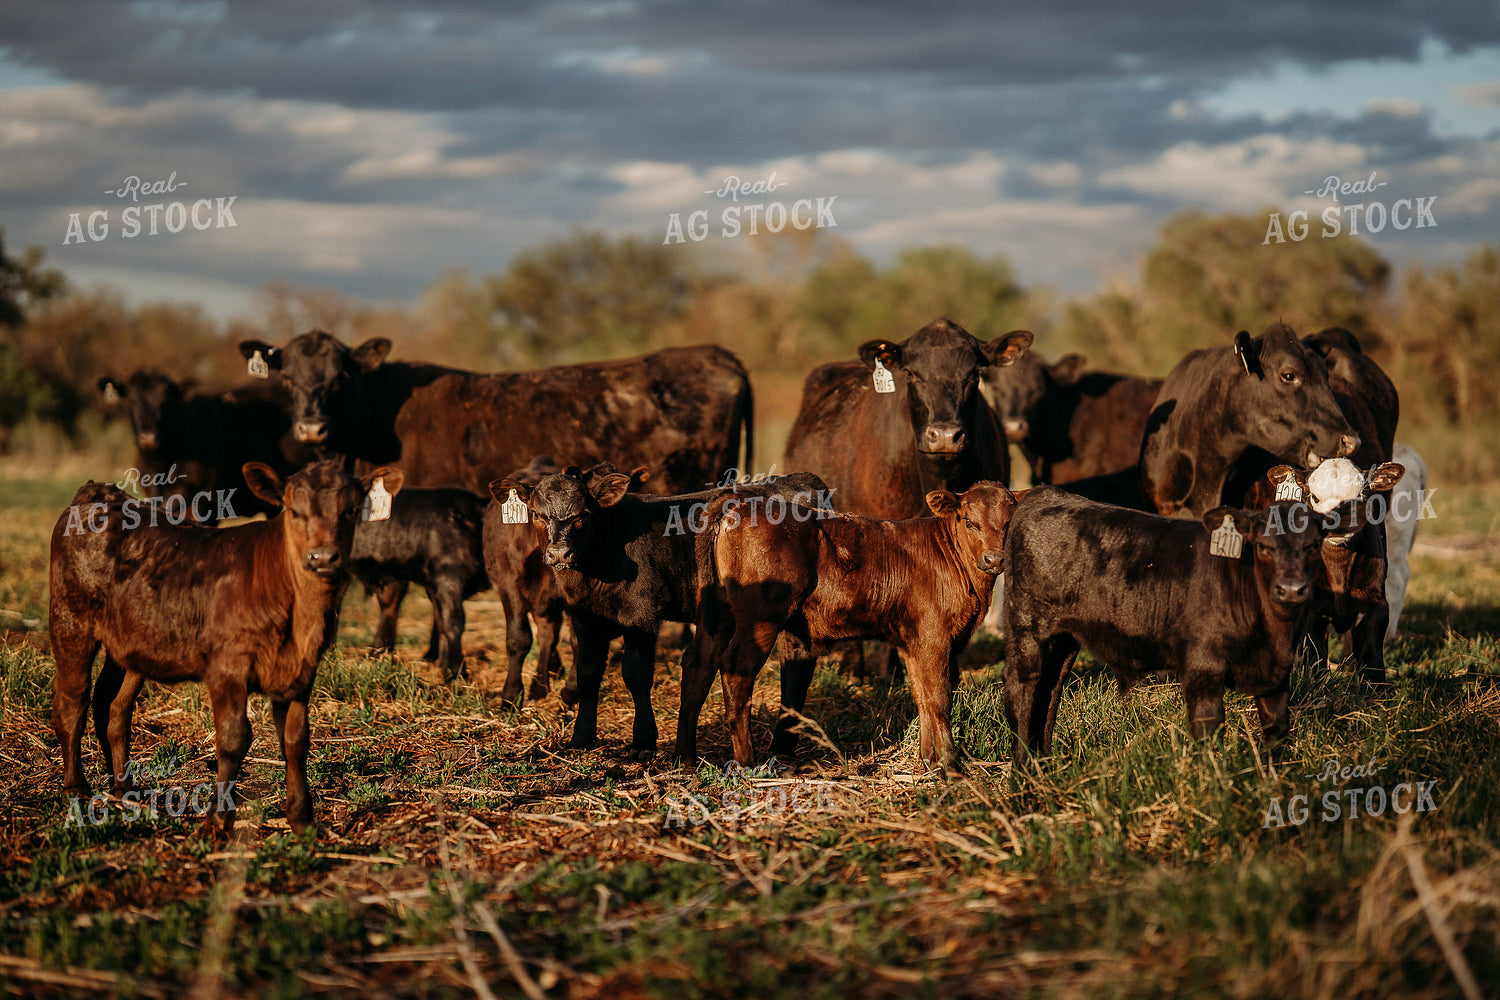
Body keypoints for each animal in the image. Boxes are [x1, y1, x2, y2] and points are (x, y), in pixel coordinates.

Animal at [49, 460, 402, 835]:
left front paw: (302, 820)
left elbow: (296, 741)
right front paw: (218, 818)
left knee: (113, 705)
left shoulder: (302, 672)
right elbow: (234, 740)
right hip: (70, 621)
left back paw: (124, 790)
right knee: (72, 700)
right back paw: (76, 789)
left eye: (350, 511)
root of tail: (98, 492)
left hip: (131, 644)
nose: (322, 557)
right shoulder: (227, 668)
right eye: (294, 511)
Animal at [348, 486, 489, 683]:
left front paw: (447, 667)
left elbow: (444, 622)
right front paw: (452, 670)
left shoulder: (440, 582)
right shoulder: (444, 579)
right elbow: (448, 621)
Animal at [482, 457, 650, 704]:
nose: (559, 553)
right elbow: (518, 638)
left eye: (582, 515)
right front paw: (511, 694)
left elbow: (578, 641)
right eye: (535, 514)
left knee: (548, 635)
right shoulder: (508, 583)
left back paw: (541, 684)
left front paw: (572, 690)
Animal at [692, 482, 1020, 768]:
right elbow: (940, 698)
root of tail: (743, 504)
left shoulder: (913, 643)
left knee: (701, 665)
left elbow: (922, 696)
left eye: (1009, 523)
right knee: (736, 669)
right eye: (969, 522)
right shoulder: (933, 636)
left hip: (722, 616)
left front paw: (929, 759)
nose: (994, 559)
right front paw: (950, 763)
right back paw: (746, 762)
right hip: (761, 617)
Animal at [1002, 477, 1378, 768]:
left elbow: (1276, 732)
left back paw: (1043, 765)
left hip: (1064, 638)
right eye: (1262, 546)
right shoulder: (1202, 669)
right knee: (1023, 688)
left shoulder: (1277, 677)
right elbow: (1208, 731)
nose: (1291, 589)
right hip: (1026, 629)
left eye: (1314, 545)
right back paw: (1023, 774)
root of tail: (1044, 493)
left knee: (1050, 690)